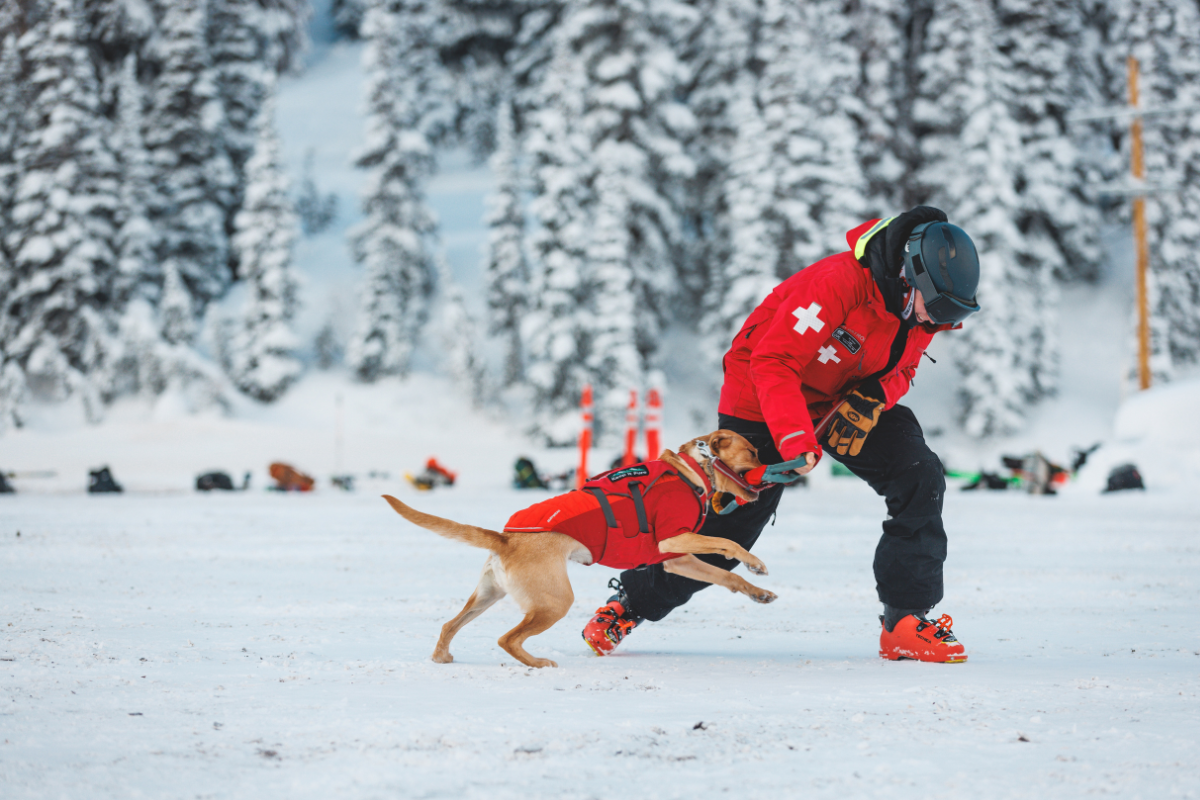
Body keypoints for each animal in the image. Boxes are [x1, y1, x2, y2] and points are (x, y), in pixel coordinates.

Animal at [384, 431, 777, 671]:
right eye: (752, 451)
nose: (772, 475)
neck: (693, 469)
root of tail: (505, 538)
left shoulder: (677, 559)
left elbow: (726, 576)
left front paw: (758, 591)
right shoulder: (673, 541)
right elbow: (730, 543)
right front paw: (755, 562)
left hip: (487, 596)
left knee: (450, 624)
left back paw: (441, 656)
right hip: (555, 602)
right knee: (506, 639)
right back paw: (538, 663)